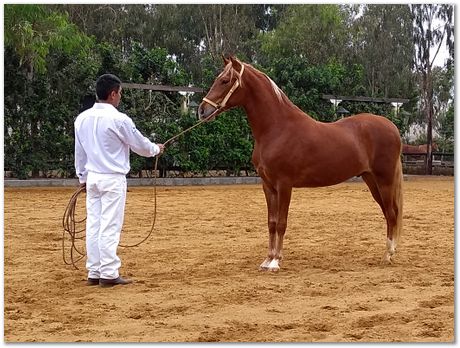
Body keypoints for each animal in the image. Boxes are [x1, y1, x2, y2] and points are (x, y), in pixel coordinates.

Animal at [198, 55, 402, 270]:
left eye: (225, 81)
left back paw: (388, 255)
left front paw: (276, 261)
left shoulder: (284, 185)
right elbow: (271, 222)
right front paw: (267, 259)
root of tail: (391, 126)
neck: (277, 129)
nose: (202, 111)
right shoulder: (268, 186)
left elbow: (281, 223)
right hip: (370, 180)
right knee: (388, 213)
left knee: (391, 213)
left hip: (384, 180)